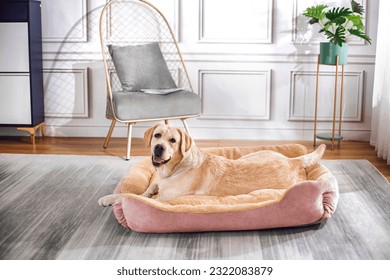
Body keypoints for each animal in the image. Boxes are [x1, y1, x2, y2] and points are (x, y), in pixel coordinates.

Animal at [98, 124, 326, 206]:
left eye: (173, 141)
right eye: (157, 135)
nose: (159, 148)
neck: (175, 169)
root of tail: (292, 160)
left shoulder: (164, 199)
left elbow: (130, 195)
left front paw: (108, 198)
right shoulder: (157, 184)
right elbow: (144, 190)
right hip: (250, 156)